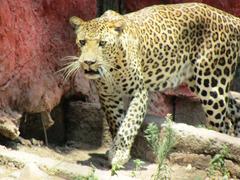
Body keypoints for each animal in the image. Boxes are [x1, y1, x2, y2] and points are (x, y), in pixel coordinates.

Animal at [61, 2, 240, 166]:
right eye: (82, 42)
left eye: (102, 43)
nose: (88, 62)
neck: (112, 68)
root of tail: (230, 17)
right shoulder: (108, 96)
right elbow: (116, 122)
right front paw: (116, 149)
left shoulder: (139, 92)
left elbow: (129, 124)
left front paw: (120, 154)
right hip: (200, 83)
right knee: (233, 107)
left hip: (211, 84)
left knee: (223, 125)